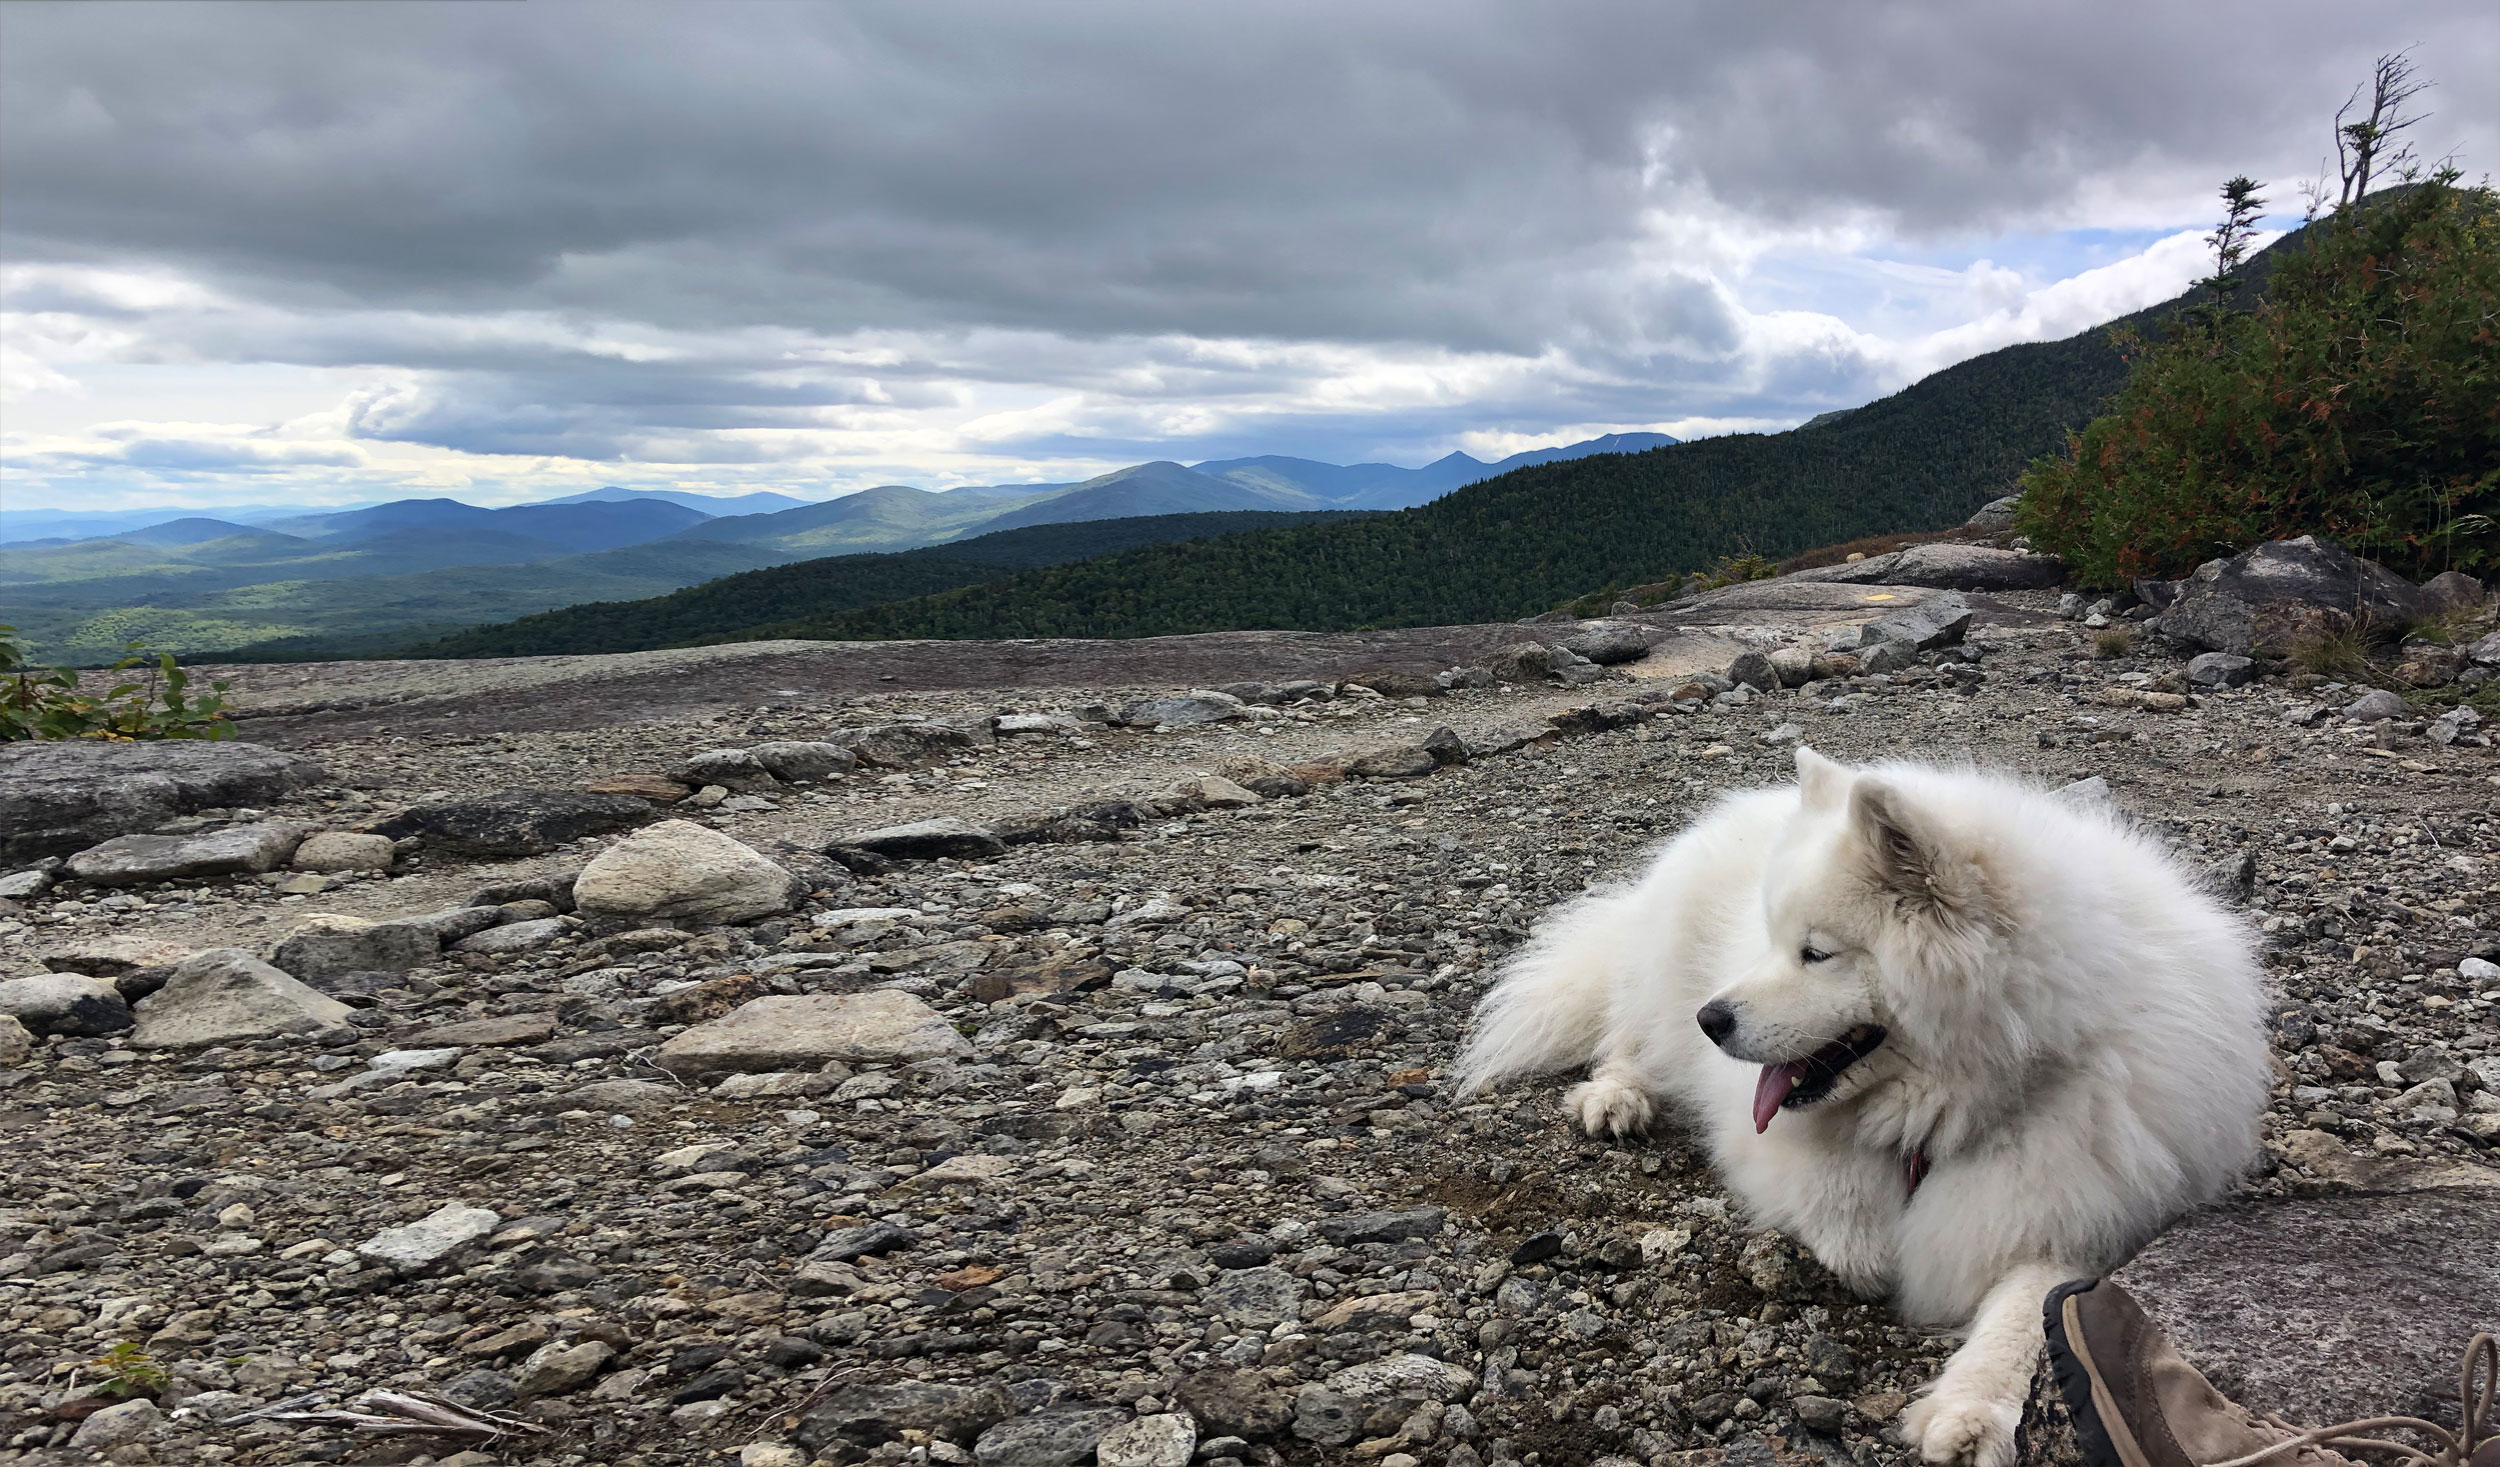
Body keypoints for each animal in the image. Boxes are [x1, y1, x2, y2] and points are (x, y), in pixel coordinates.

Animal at [1460, 759, 2280, 1467]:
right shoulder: (1769, 1136)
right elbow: (1835, 1186)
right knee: (1627, 1035)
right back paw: (1615, 1096)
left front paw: (1971, 1413)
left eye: (1816, 953)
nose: (1711, 1019)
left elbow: (2030, 1310)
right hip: (1660, 982)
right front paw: (1866, 1250)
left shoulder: (2079, 1210)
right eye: (1773, 942)